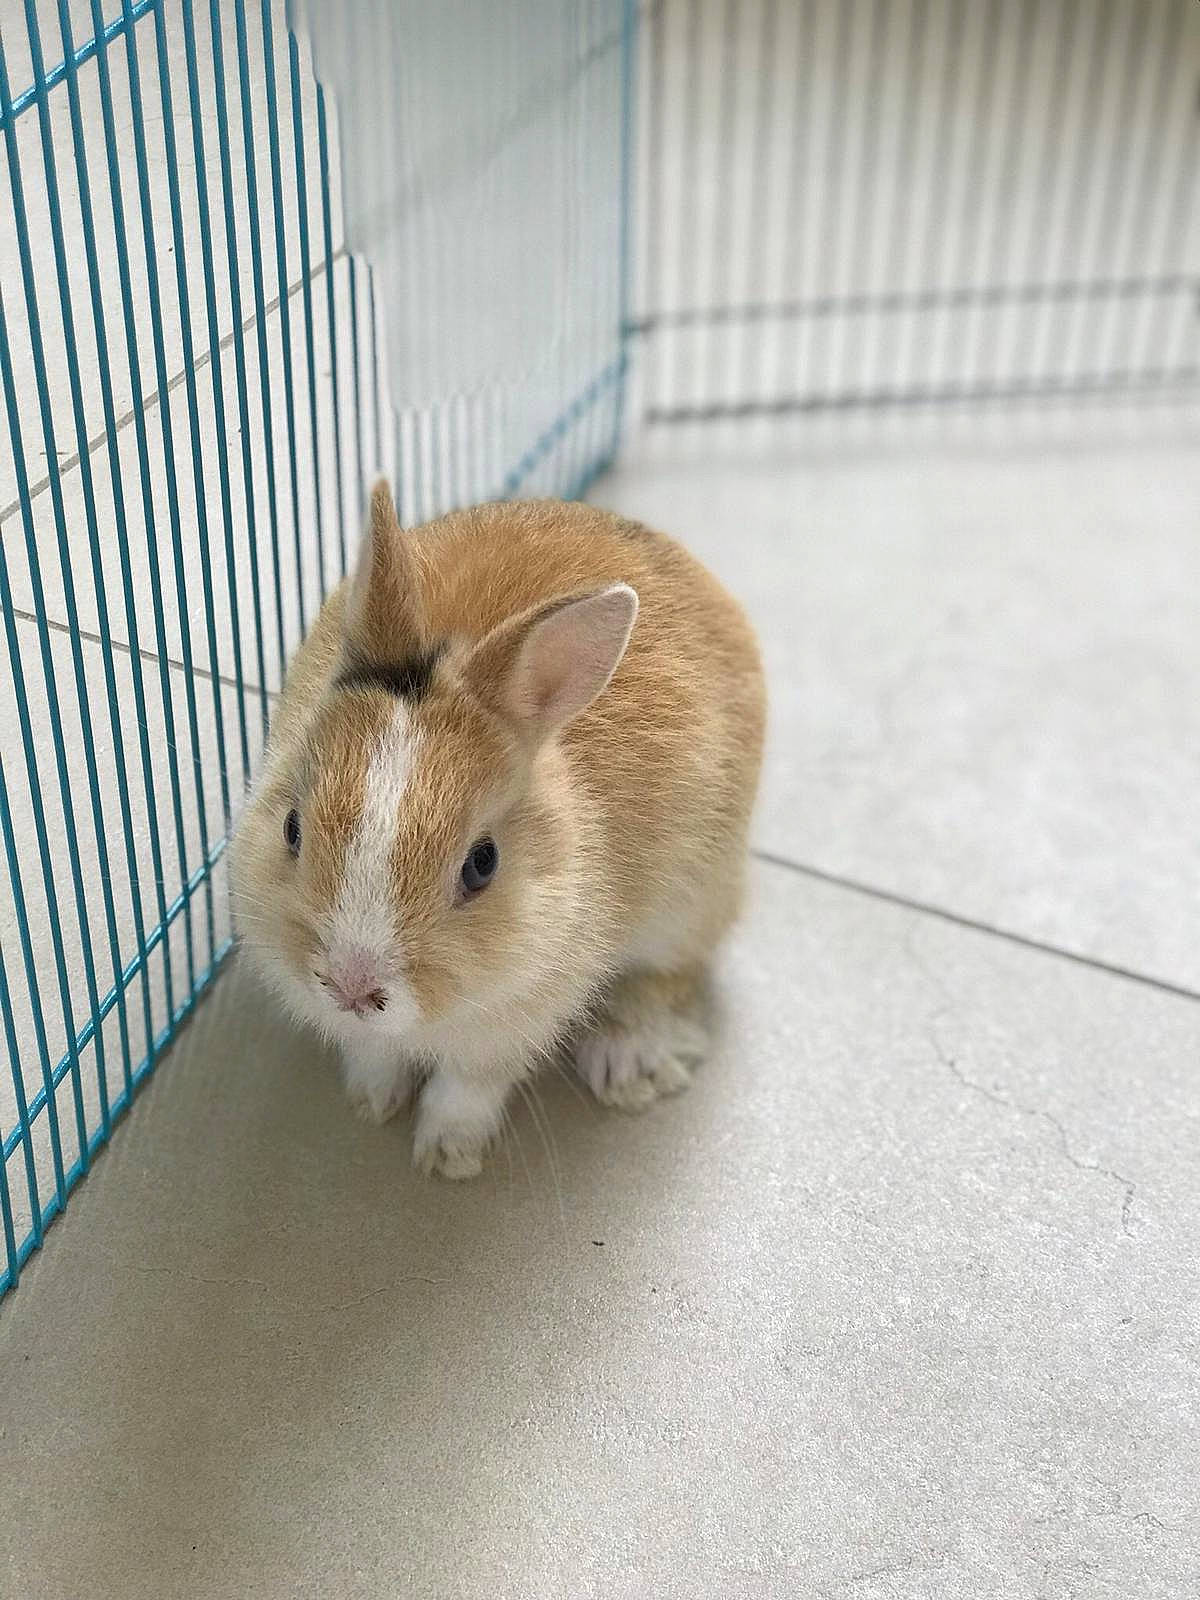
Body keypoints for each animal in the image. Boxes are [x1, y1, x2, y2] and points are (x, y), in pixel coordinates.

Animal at [230, 484, 765, 1178]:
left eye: (482, 864)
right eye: (292, 827)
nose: (351, 989)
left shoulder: (514, 1023)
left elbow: (468, 1087)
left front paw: (448, 1158)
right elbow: (376, 1055)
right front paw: (373, 1103)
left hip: (692, 906)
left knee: (672, 976)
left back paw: (627, 1065)